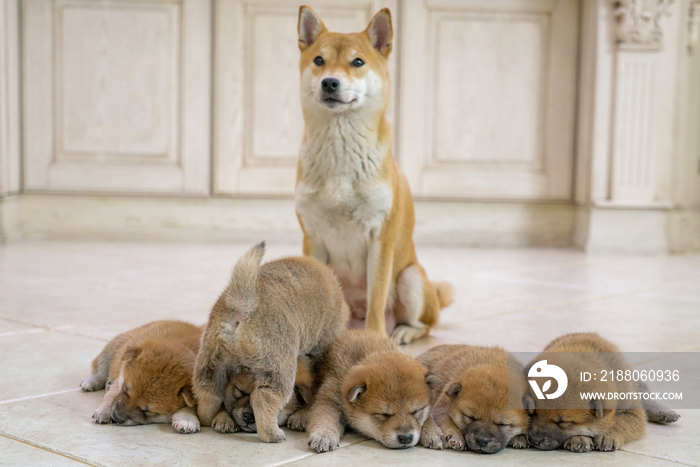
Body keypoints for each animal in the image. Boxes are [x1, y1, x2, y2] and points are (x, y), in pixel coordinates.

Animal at [193, 243, 348, 444]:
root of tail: (244, 306)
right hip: (278, 370)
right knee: (263, 399)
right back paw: (273, 434)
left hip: (211, 364)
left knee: (209, 394)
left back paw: (209, 418)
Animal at [294, 5, 454, 346]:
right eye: (319, 60)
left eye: (357, 62)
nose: (330, 83)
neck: (340, 150)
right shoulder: (312, 237)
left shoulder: (380, 237)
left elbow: (377, 299)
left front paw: (376, 339)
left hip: (410, 278)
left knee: (425, 323)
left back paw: (403, 332)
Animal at [528, 332, 680, 454]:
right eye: (532, 413)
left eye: (563, 422)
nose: (533, 440)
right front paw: (580, 438)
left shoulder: (632, 412)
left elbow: (620, 422)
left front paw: (607, 436)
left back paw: (664, 412)